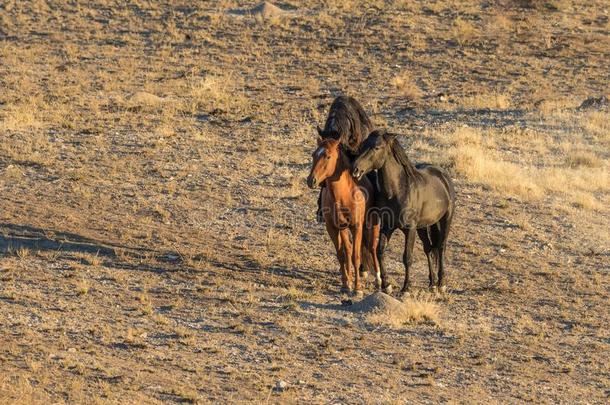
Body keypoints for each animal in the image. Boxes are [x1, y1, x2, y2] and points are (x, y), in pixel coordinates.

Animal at [306, 137, 378, 296]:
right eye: (314, 155)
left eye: (327, 156)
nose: (311, 180)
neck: (344, 195)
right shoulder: (334, 227)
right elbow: (342, 255)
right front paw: (346, 284)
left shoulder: (356, 227)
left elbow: (356, 256)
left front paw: (357, 288)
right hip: (344, 229)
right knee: (348, 249)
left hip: (371, 224)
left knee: (372, 247)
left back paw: (379, 280)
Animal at [350, 129, 454, 294]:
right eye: (363, 145)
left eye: (377, 147)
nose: (355, 169)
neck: (397, 191)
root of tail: (443, 176)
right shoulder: (387, 227)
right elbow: (380, 251)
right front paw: (386, 285)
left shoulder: (409, 229)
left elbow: (407, 257)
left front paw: (406, 288)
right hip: (423, 226)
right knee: (429, 248)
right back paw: (432, 283)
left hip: (445, 220)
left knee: (441, 247)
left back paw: (441, 283)